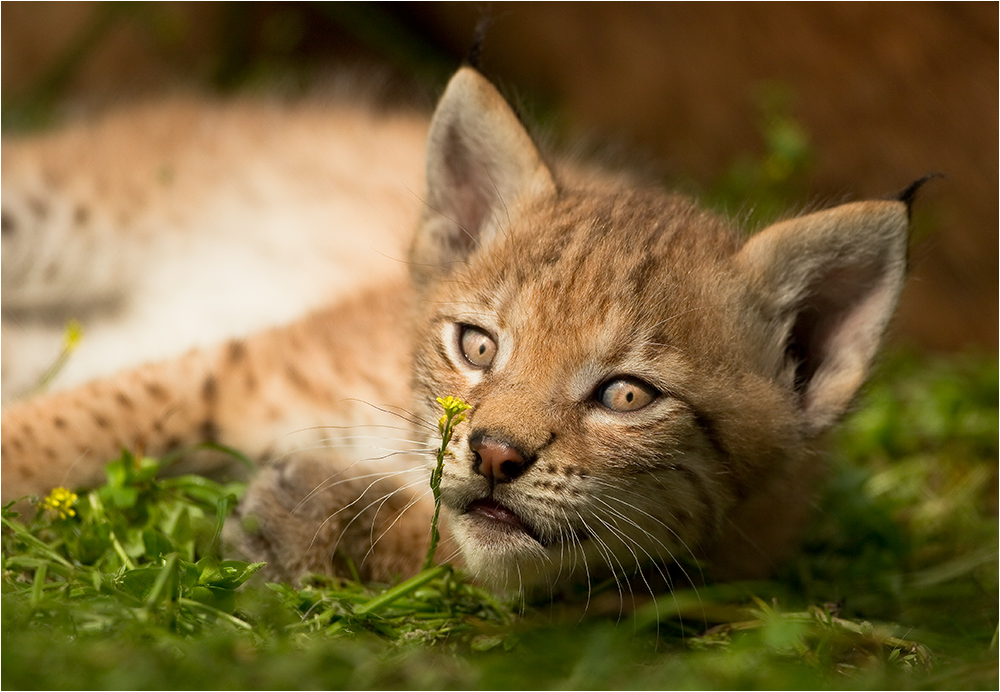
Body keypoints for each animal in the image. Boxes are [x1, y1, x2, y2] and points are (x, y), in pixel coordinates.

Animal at [0, 66, 912, 596]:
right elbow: (65, 428)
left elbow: (476, 566)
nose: (495, 454)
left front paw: (328, 524)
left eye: (626, 396)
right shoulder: (238, 367)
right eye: (478, 346)